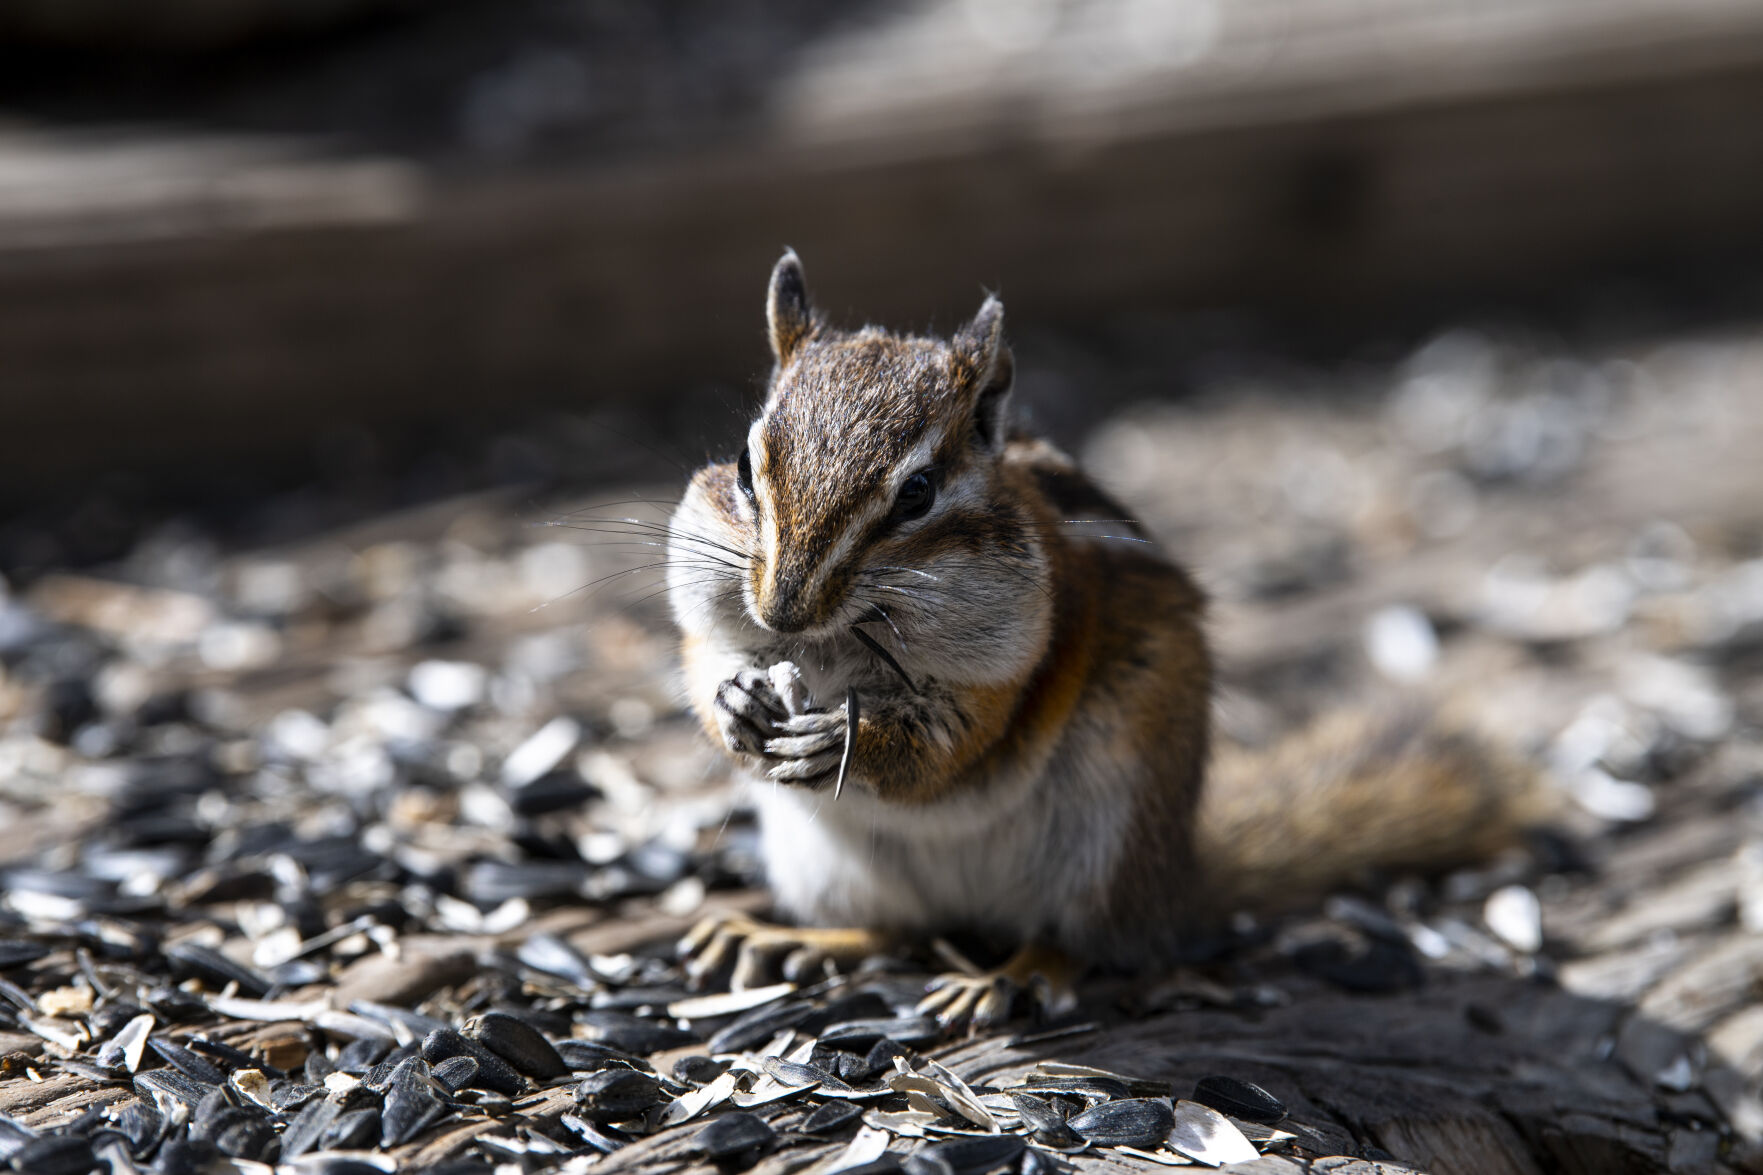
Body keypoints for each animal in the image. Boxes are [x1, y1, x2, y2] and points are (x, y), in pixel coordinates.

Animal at [665, 251, 1542, 1025]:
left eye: (916, 493)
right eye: (743, 466)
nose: (783, 611)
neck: (838, 645)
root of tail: (1175, 880)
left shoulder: (1002, 675)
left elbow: (948, 748)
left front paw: (843, 741)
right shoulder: (711, 619)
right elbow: (704, 663)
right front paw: (736, 702)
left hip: (1107, 833)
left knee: (1075, 941)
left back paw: (1011, 977)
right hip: (828, 863)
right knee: (898, 926)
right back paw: (784, 937)